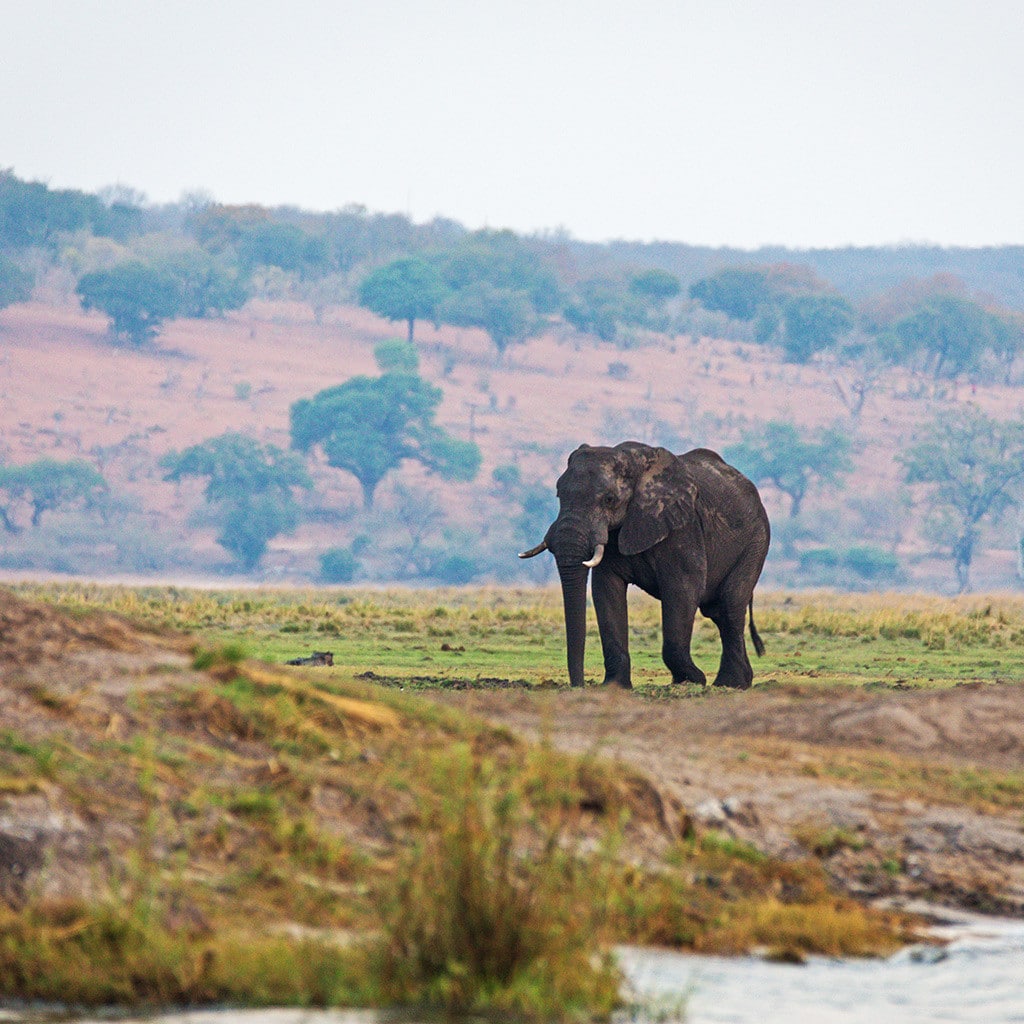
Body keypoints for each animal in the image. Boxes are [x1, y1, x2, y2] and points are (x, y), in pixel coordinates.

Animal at [520, 442, 770, 690]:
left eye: (609, 499)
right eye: (559, 494)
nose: (578, 685)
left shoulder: (683, 527)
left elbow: (683, 589)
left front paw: (692, 680)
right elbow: (606, 591)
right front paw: (614, 686)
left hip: (756, 541)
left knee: (729, 607)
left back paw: (729, 684)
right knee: (717, 611)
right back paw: (736, 682)